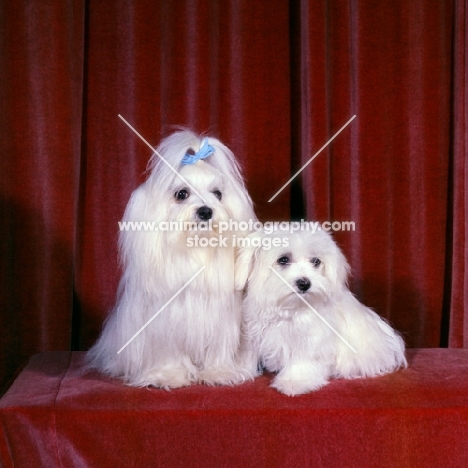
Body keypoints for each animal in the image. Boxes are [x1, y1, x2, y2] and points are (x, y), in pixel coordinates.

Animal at [87, 128, 256, 388]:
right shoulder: (165, 325)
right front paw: (168, 376)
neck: (195, 250)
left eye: (217, 194)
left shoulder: (222, 322)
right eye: (181, 194)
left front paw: (219, 373)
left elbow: (217, 350)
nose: (205, 211)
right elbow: (169, 354)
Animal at [236, 229, 408, 396]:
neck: (290, 308)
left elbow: (302, 359)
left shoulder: (310, 339)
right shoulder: (252, 333)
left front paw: (295, 382)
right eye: (283, 260)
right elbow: (248, 352)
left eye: (316, 261)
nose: (304, 283)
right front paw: (241, 369)